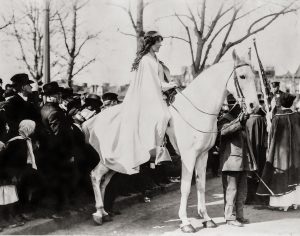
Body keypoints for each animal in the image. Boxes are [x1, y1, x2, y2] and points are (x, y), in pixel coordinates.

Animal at [85, 49, 258, 232]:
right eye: (242, 76)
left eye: (254, 75)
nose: (254, 105)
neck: (194, 111)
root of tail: (94, 120)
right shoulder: (188, 157)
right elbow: (186, 188)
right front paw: (186, 222)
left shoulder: (202, 155)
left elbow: (201, 185)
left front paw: (206, 218)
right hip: (111, 160)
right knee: (95, 176)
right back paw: (98, 214)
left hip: (118, 163)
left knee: (103, 181)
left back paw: (104, 213)